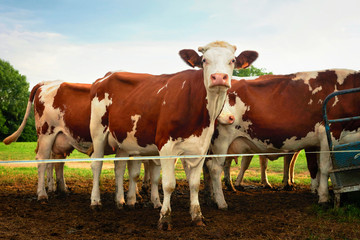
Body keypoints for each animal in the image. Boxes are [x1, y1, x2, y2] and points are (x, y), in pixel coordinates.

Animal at [2, 80, 161, 208]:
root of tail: (48, 83)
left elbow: (131, 169)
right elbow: (136, 171)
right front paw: (134, 197)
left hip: (60, 139)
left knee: (57, 162)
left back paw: (62, 189)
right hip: (46, 134)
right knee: (43, 161)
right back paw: (42, 194)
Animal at [88, 40, 258, 229]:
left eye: (233, 60)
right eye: (204, 60)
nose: (219, 77)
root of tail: (107, 76)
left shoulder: (201, 147)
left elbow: (194, 184)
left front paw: (197, 216)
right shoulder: (166, 146)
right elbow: (168, 184)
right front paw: (165, 218)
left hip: (124, 140)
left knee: (119, 167)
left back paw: (120, 202)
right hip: (98, 132)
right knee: (96, 164)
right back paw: (95, 202)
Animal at [207, 68, 360, 209]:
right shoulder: (329, 132)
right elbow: (324, 168)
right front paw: (323, 197)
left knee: (208, 166)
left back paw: (213, 198)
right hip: (221, 139)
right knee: (215, 168)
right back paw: (221, 202)